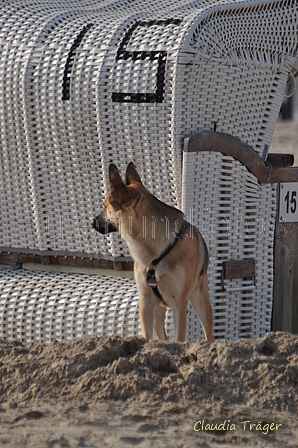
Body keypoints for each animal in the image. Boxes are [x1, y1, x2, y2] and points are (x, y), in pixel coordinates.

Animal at [93, 162, 214, 344]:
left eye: (106, 206)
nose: (92, 222)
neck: (156, 253)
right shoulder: (146, 302)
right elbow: (147, 336)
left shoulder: (179, 304)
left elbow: (179, 338)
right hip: (158, 311)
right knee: (160, 333)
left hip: (201, 302)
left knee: (209, 332)